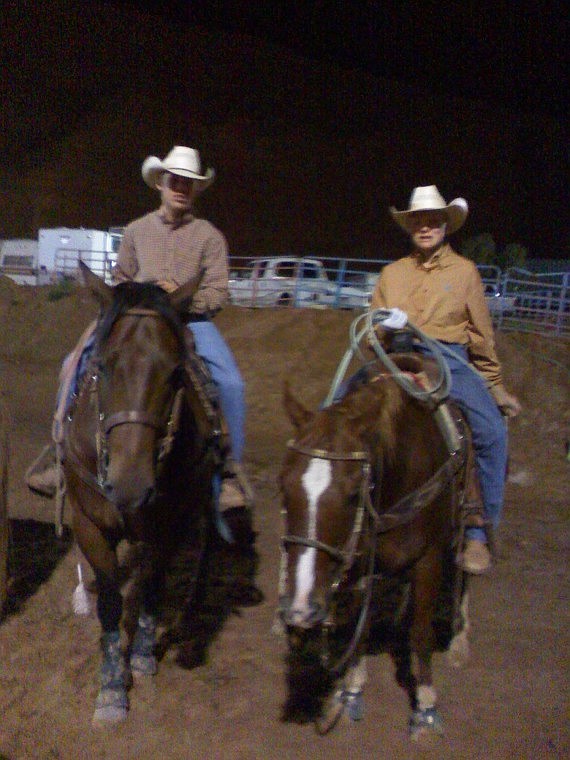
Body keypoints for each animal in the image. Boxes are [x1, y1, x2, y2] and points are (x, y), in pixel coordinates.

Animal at [64, 264, 217, 728]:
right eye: (102, 366)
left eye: (175, 372)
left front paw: (145, 654)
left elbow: (153, 584)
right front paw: (112, 686)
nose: (130, 485)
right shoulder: (88, 524)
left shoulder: (170, 523)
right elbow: (112, 601)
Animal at [278, 360, 472, 740]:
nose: (301, 609)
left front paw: (426, 710)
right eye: (284, 486)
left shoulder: (429, 559)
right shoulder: (357, 561)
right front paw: (350, 694)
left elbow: (421, 633)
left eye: (355, 492)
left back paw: (460, 638)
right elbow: (360, 627)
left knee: (462, 574)